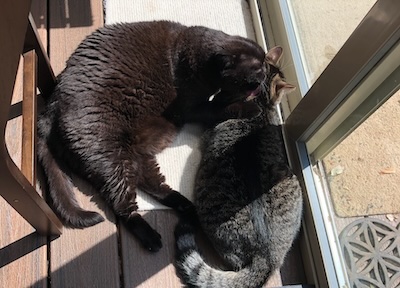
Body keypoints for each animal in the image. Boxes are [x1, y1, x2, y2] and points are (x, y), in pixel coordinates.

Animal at [37, 20, 268, 251]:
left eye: (265, 63)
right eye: (258, 66)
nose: (266, 73)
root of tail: (51, 106)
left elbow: (222, 102)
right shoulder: (192, 107)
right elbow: (219, 109)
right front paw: (251, 108)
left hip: (135, 156)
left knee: (151, 183)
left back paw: (186, 207)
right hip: (110, 156)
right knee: (123, 205)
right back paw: (152, 239)